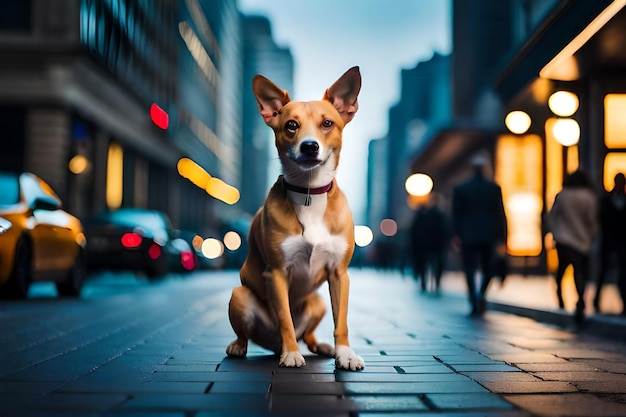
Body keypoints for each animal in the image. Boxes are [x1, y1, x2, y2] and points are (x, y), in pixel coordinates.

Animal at [225, 66, 364, 370]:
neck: (309, 191)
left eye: (327, 123)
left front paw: (345, 353)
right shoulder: (277, 273)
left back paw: (322, 346)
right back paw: (245, 347)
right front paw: (291, 354)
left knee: (309, 335)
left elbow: (342, 322)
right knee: (249, 334)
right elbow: (285, 319)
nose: (310, 146)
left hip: (318, 303)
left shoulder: (339, 274)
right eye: (291, 125)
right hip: (240, 295)